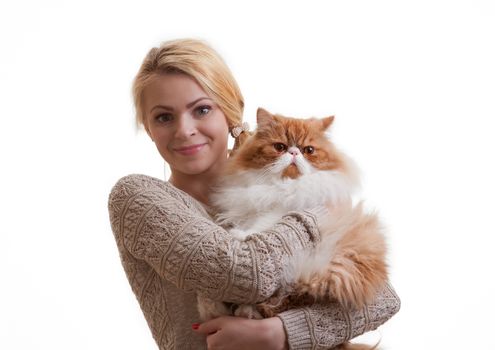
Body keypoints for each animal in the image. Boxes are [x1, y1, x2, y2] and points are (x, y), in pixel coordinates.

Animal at [198, 108, 388, 348]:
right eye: (280, 147)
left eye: (309, 150)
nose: (295, 153)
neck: (282, 186)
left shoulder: (284, 209)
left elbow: (262, 223)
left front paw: (242, 234)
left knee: (282, 302)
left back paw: (243, 311)